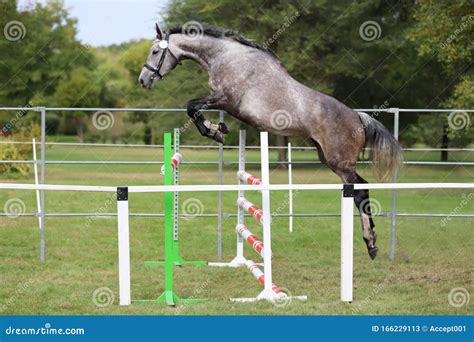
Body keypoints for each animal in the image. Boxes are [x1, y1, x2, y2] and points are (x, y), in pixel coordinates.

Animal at [139, 23, 402, 260]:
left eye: (155, 52)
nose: (143, 80)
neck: (226, 57)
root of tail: (357, 117)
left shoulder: (225, 99)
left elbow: (191, 106)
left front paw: (215, 132)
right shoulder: (223, 102)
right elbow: (193, 108)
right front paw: (218, 129)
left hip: (341, 163)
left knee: (360, 191)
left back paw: (371, 243)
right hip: (329, 160)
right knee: (361, 188)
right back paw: (371, 244)